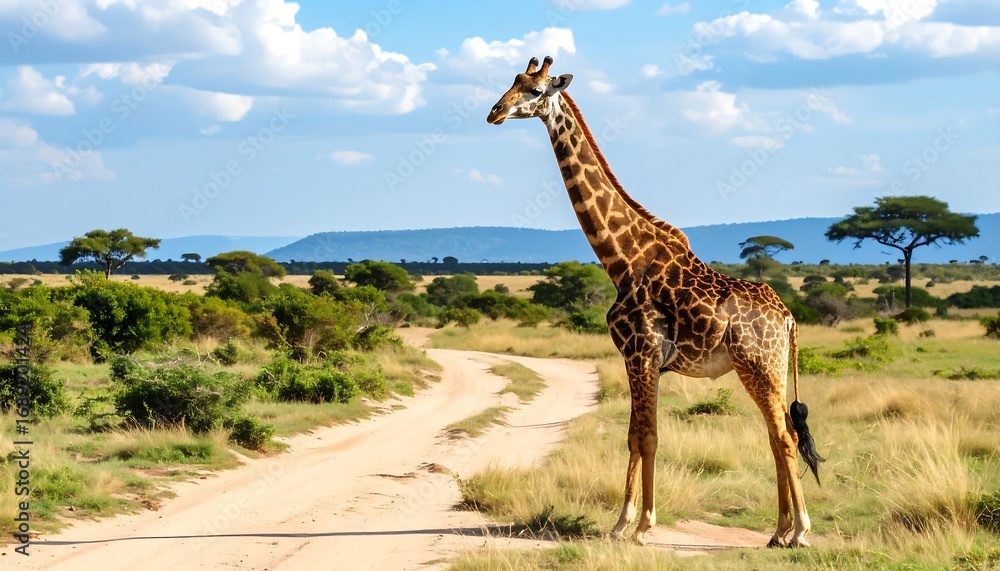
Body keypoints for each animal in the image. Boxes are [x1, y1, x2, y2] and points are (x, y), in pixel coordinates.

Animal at [486, 56, 824, 547]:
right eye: (511, 82)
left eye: (534, 90)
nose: (494, 112)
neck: (623, 259)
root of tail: (788, 319)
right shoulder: (640, 359)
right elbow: (636, 435)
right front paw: (622, 523)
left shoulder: (640, 352)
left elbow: (645, 437)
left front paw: (641, 525)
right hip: (770, 369)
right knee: (777, 433)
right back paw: (778, 532)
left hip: (759, 365)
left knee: (784, 437)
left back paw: (799, 531)